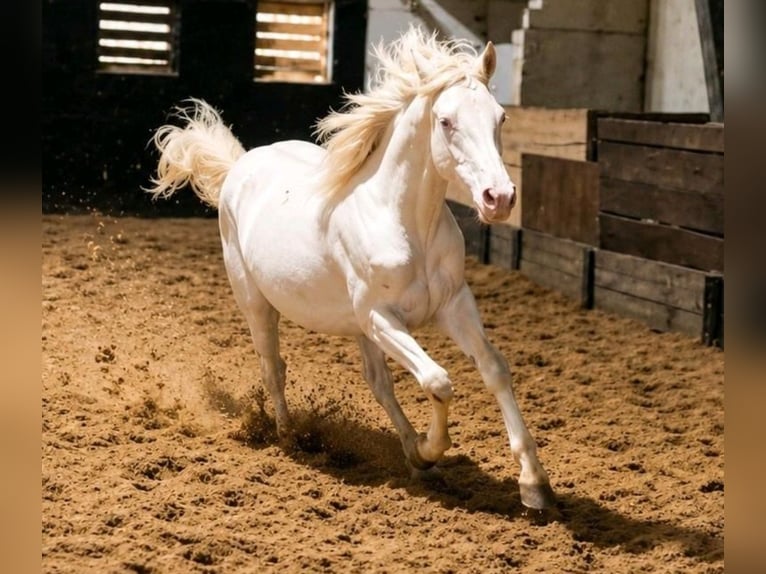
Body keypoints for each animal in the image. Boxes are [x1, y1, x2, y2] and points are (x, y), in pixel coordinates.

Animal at [147, 26, 555, 510]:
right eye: (446, 121)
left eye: (501, 118)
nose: (500, 198)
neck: (407, 223)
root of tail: (238, 167)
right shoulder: (380, 317)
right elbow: (438, 380)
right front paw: (431, 449)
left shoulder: (453, 305)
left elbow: (493, 369)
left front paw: (533, 483)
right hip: (257, 304)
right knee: (274, 367)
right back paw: (291, 436)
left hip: (361, 330)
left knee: (378, 383)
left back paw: (409, 452)